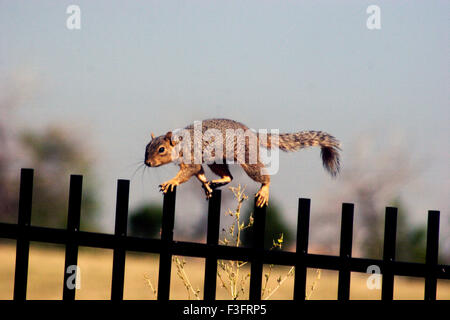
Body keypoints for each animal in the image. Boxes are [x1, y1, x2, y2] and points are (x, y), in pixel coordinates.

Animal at [145, 118, 342, 208]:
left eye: (161, 149)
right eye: (147, 147)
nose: (147, 162)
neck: (180, 143)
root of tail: (253, 134)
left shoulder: (191, 156)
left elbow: (188, 172)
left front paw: (171, 182)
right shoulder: (194, 162)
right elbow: (199, 173)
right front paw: (206, 185)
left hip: (248, 158)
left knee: (263, 176)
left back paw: (264, 190)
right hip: (216, 160)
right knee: (229, 176)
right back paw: (216, 182)